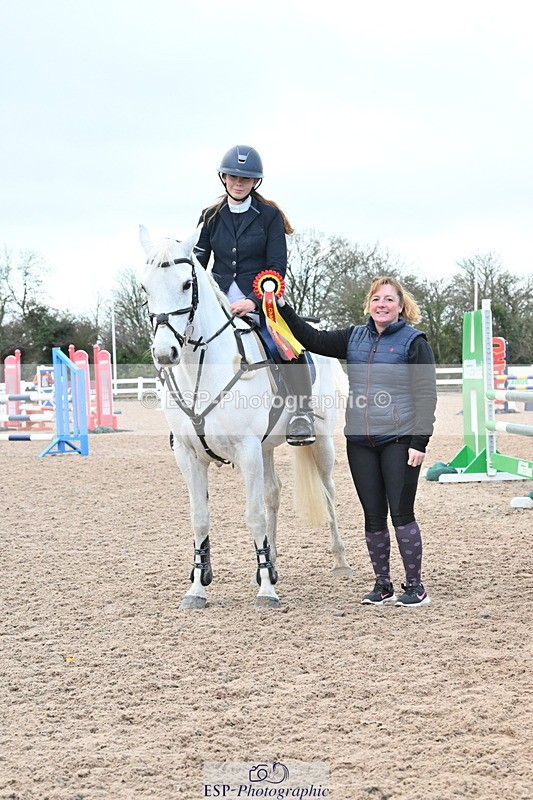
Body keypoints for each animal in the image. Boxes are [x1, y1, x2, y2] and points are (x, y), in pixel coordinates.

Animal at [139, 226, 352, 609]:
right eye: (145, 287)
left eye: (186, 284)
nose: (165, 353)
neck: (201, 370)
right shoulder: (189, 456)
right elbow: (200, 519)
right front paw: (198, 587)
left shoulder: (248, 450)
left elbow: (252, 517)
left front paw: (266, 590)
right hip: (266, 449)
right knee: (273, 495)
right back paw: (274, 559)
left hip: (322, 441)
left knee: (328, 491)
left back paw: (339, 560)